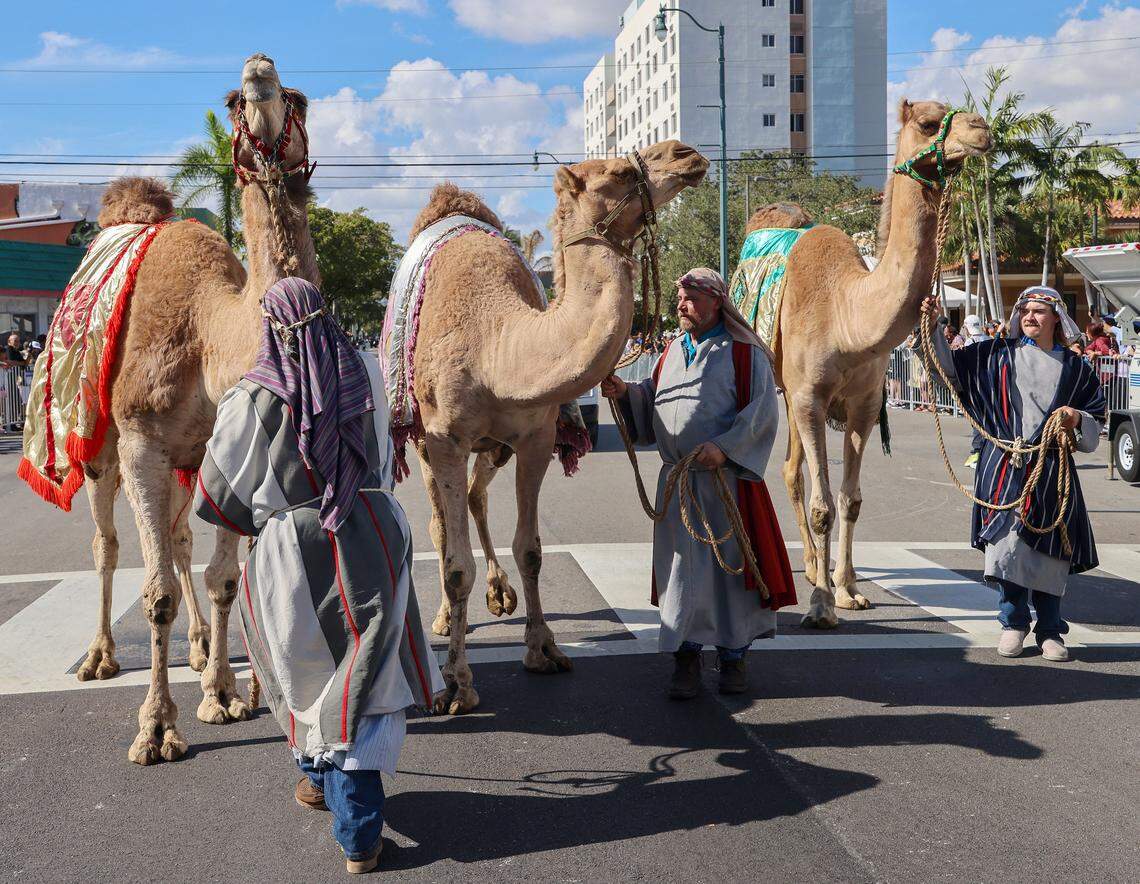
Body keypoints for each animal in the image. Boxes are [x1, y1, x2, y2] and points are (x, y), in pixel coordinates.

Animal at [80, 53, 319, 763]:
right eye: (232, 103)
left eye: (300, 97)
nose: (259, 71)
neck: (214, 340)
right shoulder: (142, 443)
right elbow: (154, 589)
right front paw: (157, 729)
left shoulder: (234, 452)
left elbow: (223, 577)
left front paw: (223, 695)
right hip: (100, 446)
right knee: (107, 544)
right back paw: (99, 657)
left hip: (189, 466)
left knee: (182, 540)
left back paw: (198, 651)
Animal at [406, 143, 708, 714]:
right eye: (619, 172)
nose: (687, 154)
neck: (497, 344)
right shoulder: (446, 439)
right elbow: (456, 566)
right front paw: (457, 683)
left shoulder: (535, 439)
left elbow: (531, 549)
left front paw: (543, 649)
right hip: (420, 440)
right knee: (438, 524)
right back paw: (443, 618)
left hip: (494, 446)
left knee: (478, 496)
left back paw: (499, 592)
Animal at [752, 99, 992, 629]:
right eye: (927, 122)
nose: (982, 128)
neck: (848, 315)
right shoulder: (810, 398)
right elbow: (824, 504)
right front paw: (821, 605)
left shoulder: (864, 404)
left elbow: (851, 499)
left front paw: (847, 590)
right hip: (787, 390)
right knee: (791, 471)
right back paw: (806, 570)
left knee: (794, 468)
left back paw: (813, 566)